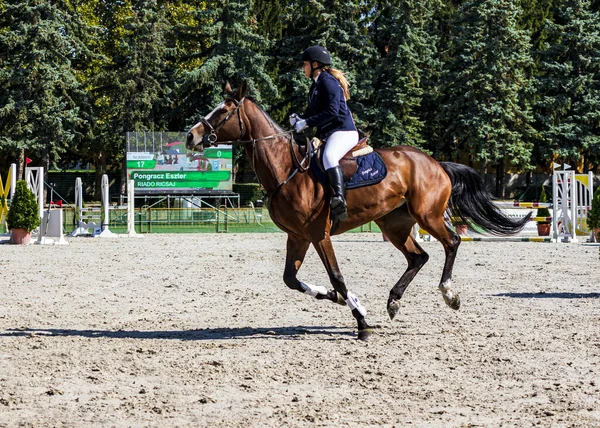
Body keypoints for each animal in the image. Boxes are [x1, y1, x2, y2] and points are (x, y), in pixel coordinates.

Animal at [185, 82, 528, 340]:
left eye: (224, 111)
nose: (191, 135)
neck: (287, 170)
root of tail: (436, 163)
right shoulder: (298, 236)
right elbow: (291, 280)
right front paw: (345, 301)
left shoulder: (318, 234)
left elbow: (336, 276)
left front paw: (361, 321)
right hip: (394, 224)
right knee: (418, 257)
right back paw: (393, 302)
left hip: (427, 216)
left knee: (452, 242)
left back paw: (448, 294)